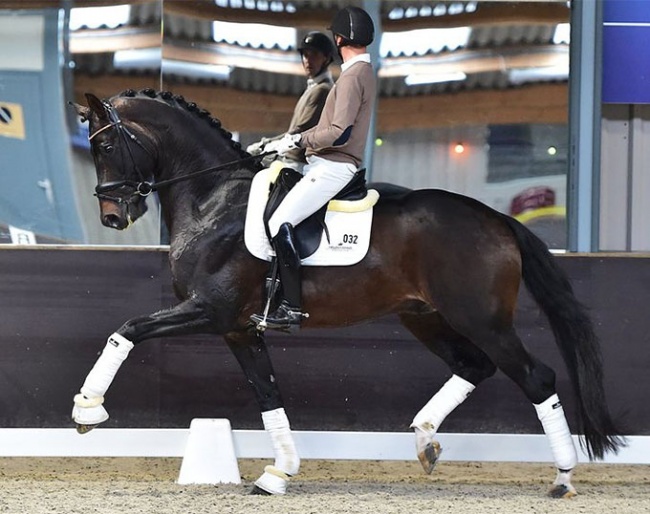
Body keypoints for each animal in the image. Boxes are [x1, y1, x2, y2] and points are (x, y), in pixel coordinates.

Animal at [71, 88, 624, 496]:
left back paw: (562, 478)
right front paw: (278, 474)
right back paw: (425, 441)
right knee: (475, 366)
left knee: (536, 376)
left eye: (105, 147)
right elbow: (268, 395)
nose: (113, 217)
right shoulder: (239, 330)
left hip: (482, 319)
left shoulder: (210, 311)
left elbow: (128, 329)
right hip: (425, 316)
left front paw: (87, 410)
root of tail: (497, 219)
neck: (213, 199)